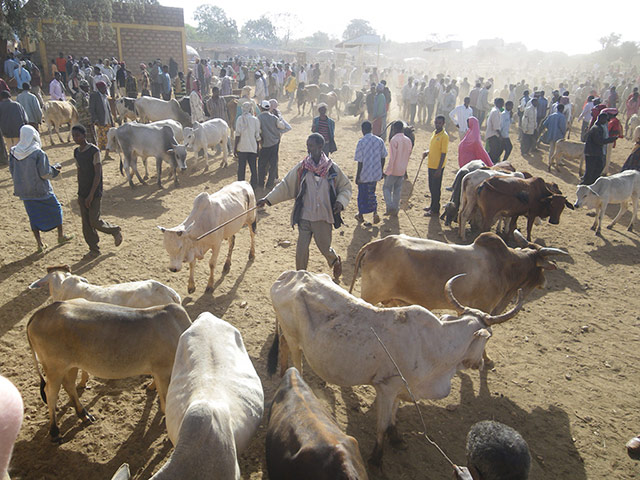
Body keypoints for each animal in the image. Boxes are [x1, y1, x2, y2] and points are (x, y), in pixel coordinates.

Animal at [26, 300, 190, 442]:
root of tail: (40, 312)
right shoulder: (163, 372)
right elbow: (166, 402)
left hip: (70, 366)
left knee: (69, 386)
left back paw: (84, 414)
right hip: (54, 368)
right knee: (50, 393)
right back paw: (55, 431)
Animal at [370, 326, 456, 468]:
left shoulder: (399, 388)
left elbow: (393, 414)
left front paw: (396, 438)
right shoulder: (386, 389)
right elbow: (382, 426)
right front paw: (376, 459)